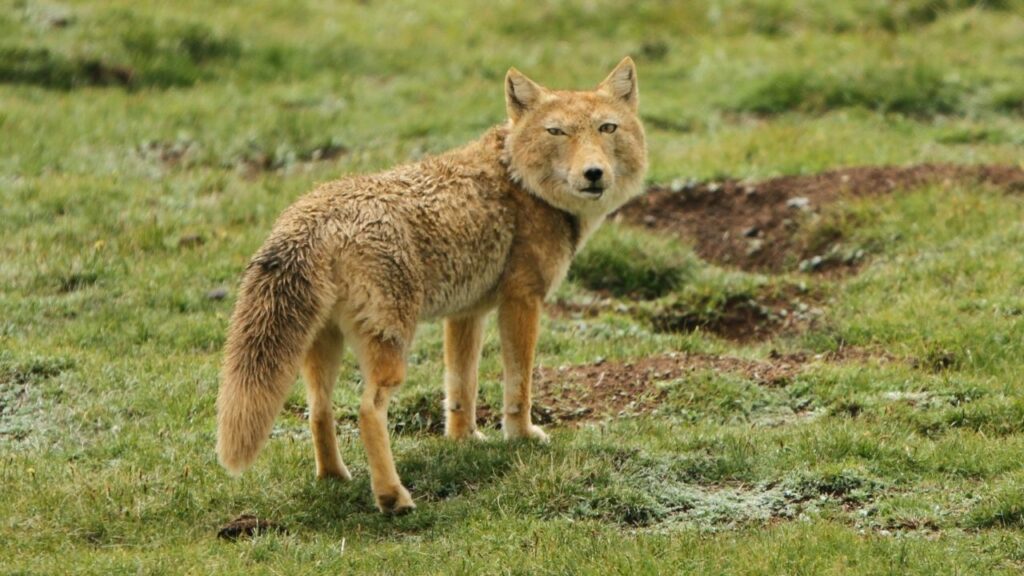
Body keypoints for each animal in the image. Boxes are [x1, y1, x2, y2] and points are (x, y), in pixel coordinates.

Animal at [216, 56, 647, 508]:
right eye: (557, 131)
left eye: (607, 128)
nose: (594, 174)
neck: (519, 179)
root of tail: (312, 216)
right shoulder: (522, 301)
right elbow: (519, 385)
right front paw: (522, 436)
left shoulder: (466, 313)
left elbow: (461, 387)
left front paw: (464, 440)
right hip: (391, 352)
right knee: (367, 411)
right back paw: (392, 497)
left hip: (323, 349)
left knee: (319, 410)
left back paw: (335, 477)